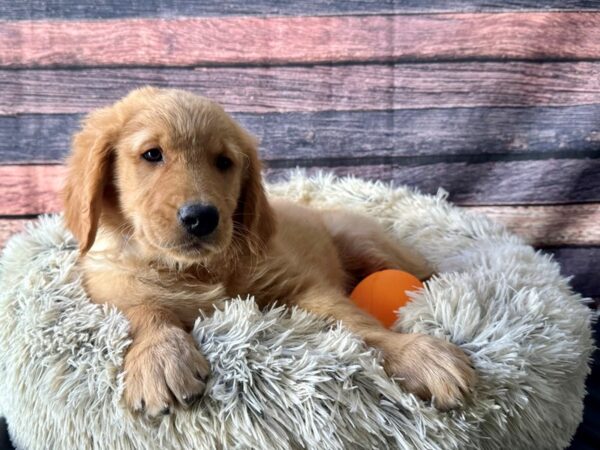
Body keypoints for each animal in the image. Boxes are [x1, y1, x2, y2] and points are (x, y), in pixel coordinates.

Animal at [59, 87, 474, 418]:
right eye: (152, 155)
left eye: (223, 162)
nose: (201, 218)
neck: (196, 268)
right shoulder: (111, 283)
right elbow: (142, 309)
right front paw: (160, 356)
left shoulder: (300, 286)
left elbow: (354, 321)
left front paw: (415, 355)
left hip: (366, 243)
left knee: (424, 269)